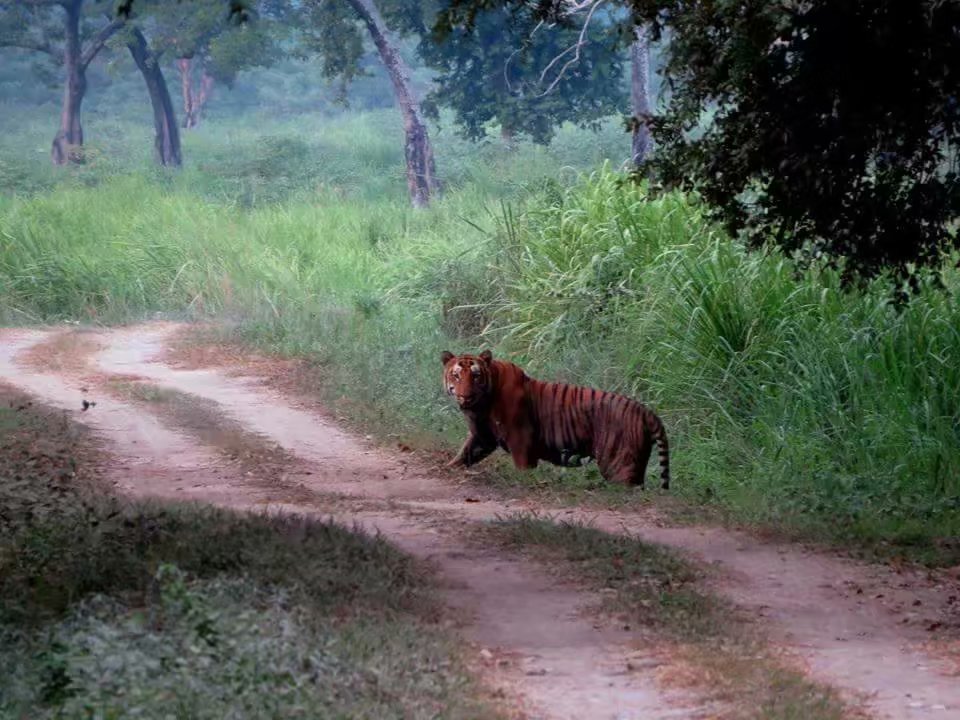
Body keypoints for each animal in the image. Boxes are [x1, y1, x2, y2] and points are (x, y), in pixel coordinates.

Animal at [440, 348, 672, 490]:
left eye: (476, 376)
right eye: (456, 375)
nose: (465, 396)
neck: (480, 405)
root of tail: (646, 412)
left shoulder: (520, 440)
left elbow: (523, 467)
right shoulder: (483, 437)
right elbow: (464, 455)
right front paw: (446, 469)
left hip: (620, 466)